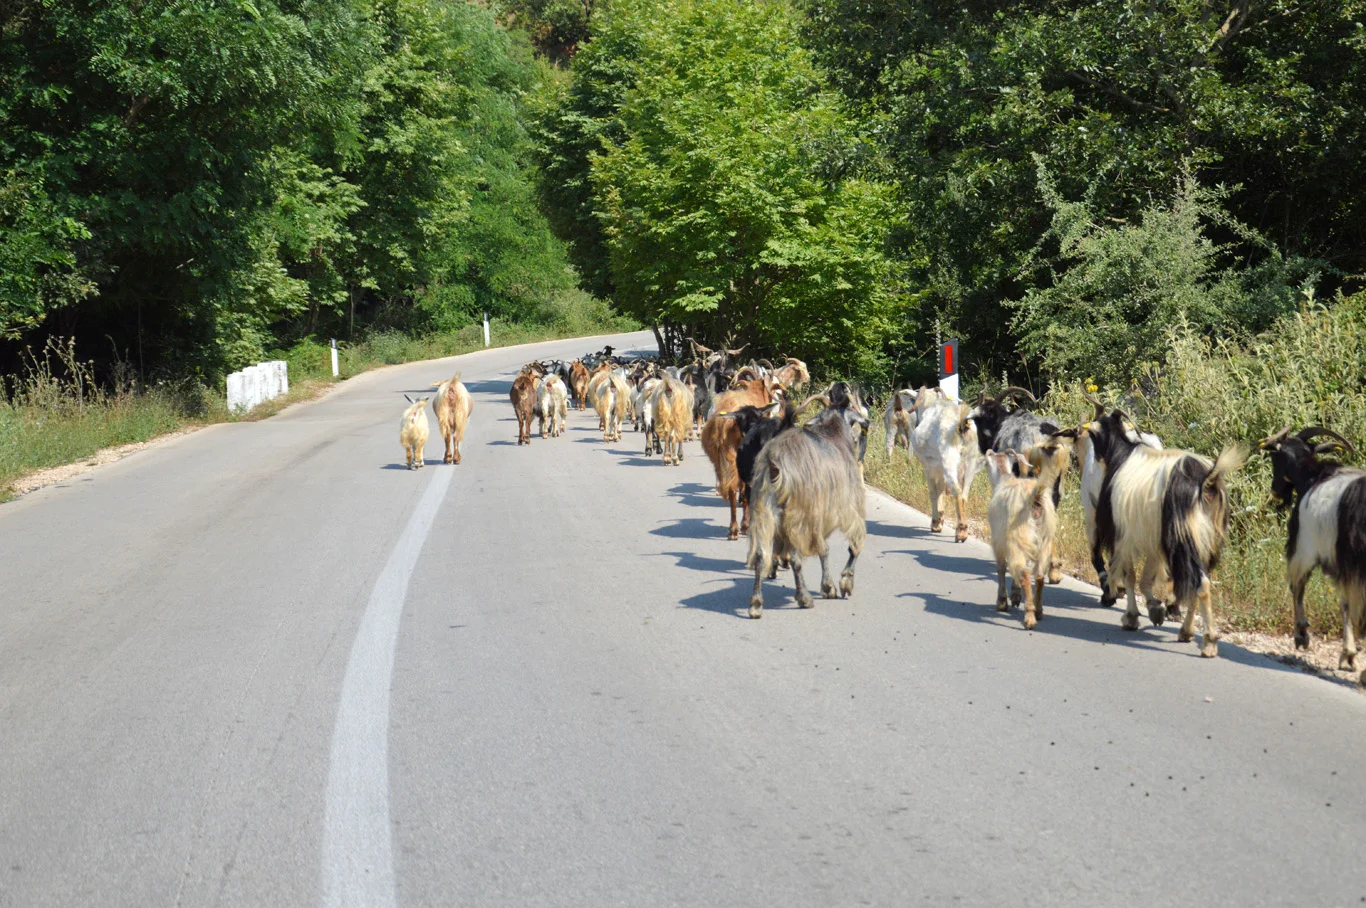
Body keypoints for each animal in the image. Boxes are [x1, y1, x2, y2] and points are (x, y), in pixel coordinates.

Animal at [746, 398, 869, 618]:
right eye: (854, 407)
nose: (867, 423)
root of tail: (775, 466)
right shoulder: (845, 505)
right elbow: (846, 545)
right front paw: (839, 584)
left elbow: (823, 548)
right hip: (799, 515)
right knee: (796, 558)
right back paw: (804, 598)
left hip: (764, 510)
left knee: (760, 554)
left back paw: (756, 604)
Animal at [911, 399, 983, 542]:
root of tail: (962, 425)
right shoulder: (940, 471)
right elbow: (940, 490)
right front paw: (940, 519)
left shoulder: (928, 468)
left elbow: (933, 492)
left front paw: (936, 523)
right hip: (970, 464)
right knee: (964, 495)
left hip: (949, 460)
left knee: (957, 491)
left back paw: (961, 531)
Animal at [986, 448, 1061, 629]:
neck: (1004, 480)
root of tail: (1035, 498)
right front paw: (1015, 595)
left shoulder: (998, 541)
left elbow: (1001, 567)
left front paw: (1002, 602)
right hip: (1044, 540)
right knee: (1039, 576)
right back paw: (1038, 610)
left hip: (1018, 536)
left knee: (1025, 574)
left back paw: (1029, 618)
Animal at [1089, 409, 1245, 656]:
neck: (1122, 455)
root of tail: (1207, 481)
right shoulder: (1153, 538)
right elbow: (1145, 578)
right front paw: (1155, 609)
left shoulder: (1124, 536)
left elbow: (1130, 576)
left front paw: (1131, 617)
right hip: (1205, 542)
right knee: (1199, 582)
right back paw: (1186, 632)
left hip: (1184, 539)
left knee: (1199, 583)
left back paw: (1208, 642)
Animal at [1260, 426, 1366, 677]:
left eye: (1274, 459)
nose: (1275, 492)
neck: (1313, 477)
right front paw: (1348, 656)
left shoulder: (1306, 546)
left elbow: (1298, 586)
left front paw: (1302, 635)